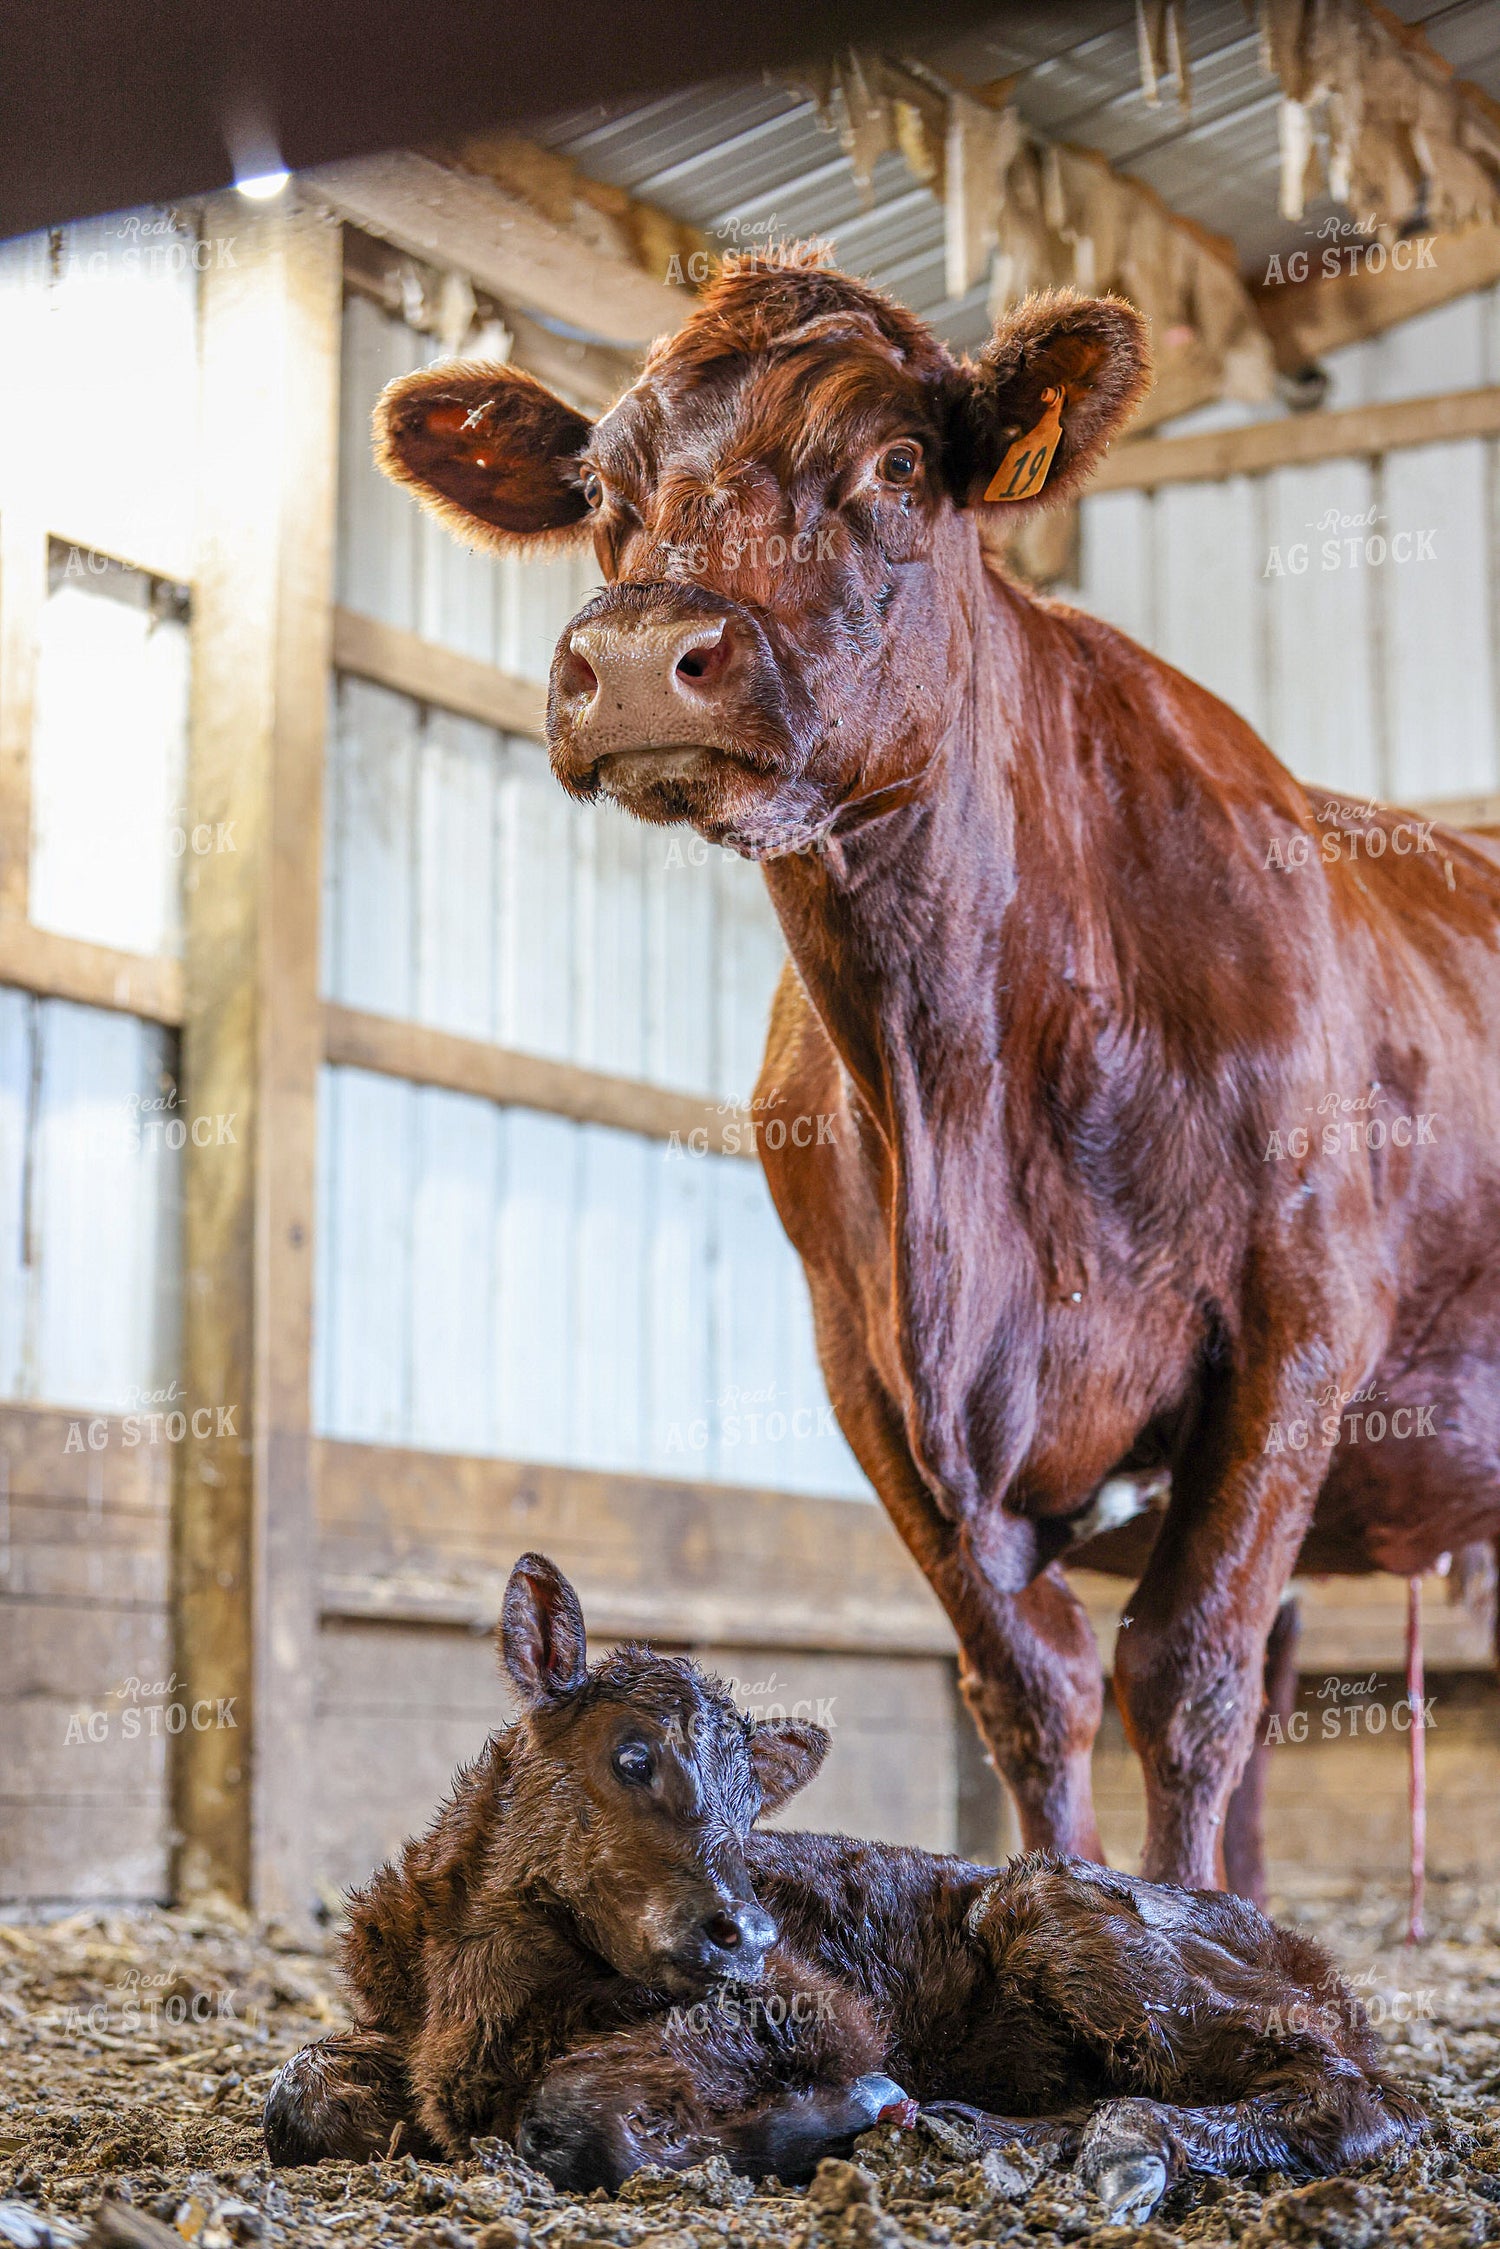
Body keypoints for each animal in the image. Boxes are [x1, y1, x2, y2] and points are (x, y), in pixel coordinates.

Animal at [265, 1554, 1424, 2218]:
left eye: (752, 1807)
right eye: (632, 1754)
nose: (742, 1926)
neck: (478, 1990)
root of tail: (1312, 1959)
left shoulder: (814, 2004)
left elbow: (574, 2111)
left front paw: (834, 2117)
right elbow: (298, 2091)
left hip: (1070, 1917)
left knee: (1348, 2097)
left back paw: (1122, 2146)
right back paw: (991, 2131)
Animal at [372, 249, 1500, 1903]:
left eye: (898, 465)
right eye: (600, 490)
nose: (639, 656)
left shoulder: (1303, 1326)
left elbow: (1186, 1674)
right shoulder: (872, 1372)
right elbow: (1034, 1684)